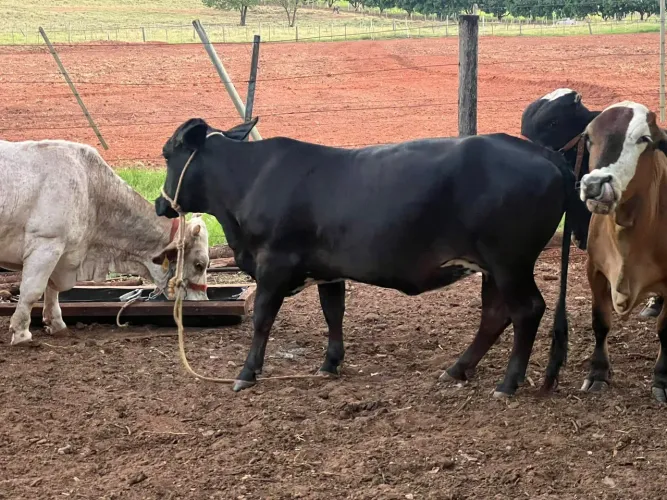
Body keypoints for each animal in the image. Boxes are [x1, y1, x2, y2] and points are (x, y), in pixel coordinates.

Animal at [0, 138, 210, 346]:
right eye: (199, 265)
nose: (202, 300)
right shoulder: (46, 244)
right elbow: (32, 290)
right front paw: (21, 334)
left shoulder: (62, 254)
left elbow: (51, 290)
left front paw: (57, 324)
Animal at [154, 117, 588, 397]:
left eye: (167, 154)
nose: (160, 204)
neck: (249, 181)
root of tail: (542, 153)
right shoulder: (327, 269)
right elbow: (333, 312)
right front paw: (330, 364)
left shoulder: (273, 264)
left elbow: (263, 319)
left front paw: (247, 372)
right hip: (492, 267)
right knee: (496, 315)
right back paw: (457, 369)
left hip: (509, 263)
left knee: (527, 310)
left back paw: (508, 383)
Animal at [547, 100, 667, 402]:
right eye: (589, 138)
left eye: (644, 139)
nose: (594, 185)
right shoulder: (596, 270)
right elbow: (600, 322)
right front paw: (598, 373)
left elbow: (665, 328)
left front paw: (662, 379)